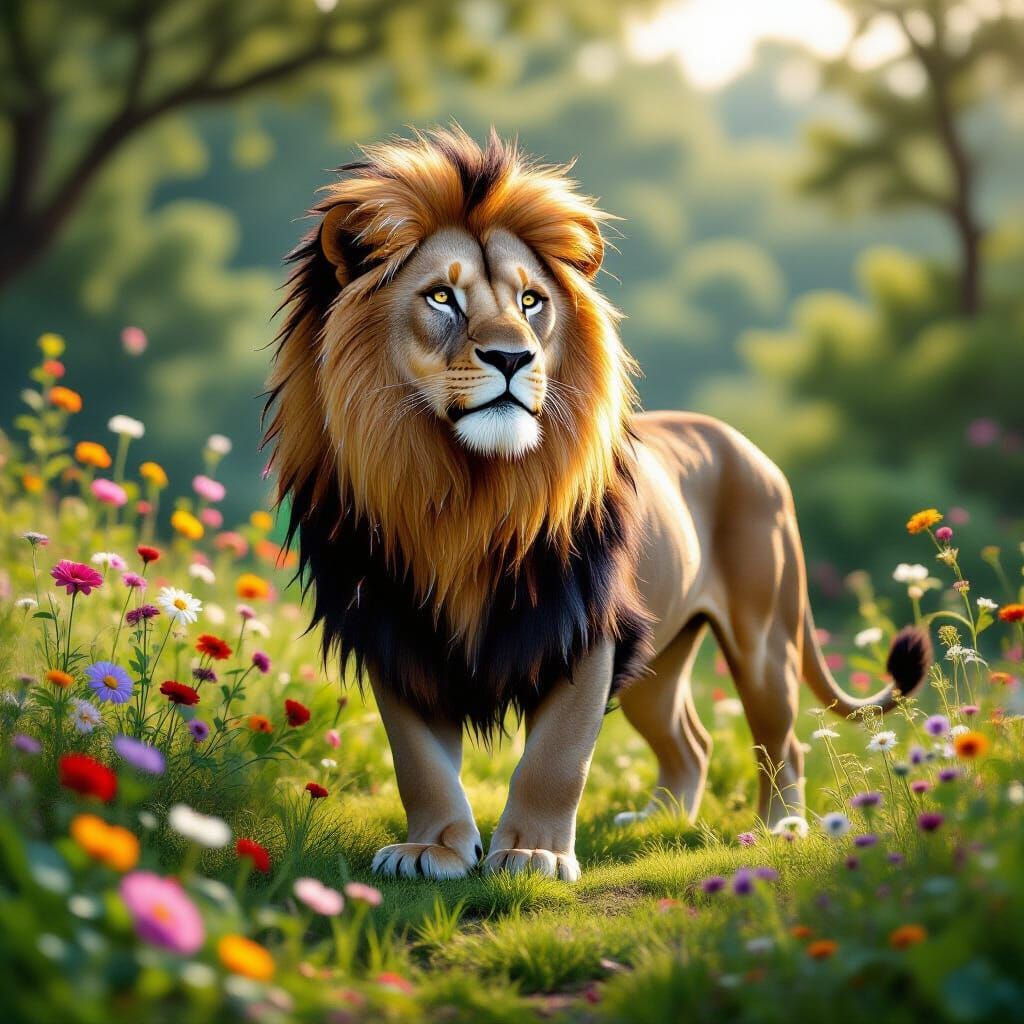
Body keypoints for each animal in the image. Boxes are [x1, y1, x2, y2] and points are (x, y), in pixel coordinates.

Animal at [264, 127, 929, 882]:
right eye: (440, 297)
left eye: (531, 302)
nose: (512, 358)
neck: (462, 492)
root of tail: (748, 448)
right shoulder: (394, 630)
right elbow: (419, 760)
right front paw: (432, 850)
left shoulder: (585, 628)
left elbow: (557, 760)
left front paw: (532, 854)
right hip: (660, 657)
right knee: (691, 740)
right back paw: (661, 819)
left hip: (763, 641)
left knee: (780, 740)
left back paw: (780, 830)